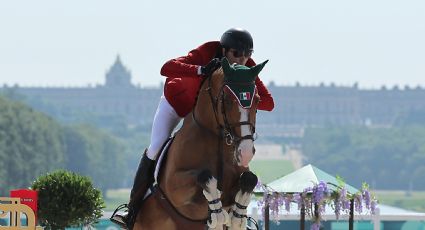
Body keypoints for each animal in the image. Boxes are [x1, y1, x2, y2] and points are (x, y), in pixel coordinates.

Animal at [133, 56, 268, 229]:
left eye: (257, 100)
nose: (245, 152)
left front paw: (237, 218)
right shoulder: (175, 187)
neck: (217, 140)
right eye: (227, 100)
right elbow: (205, 176)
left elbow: (250, 179)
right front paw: (217, 215)